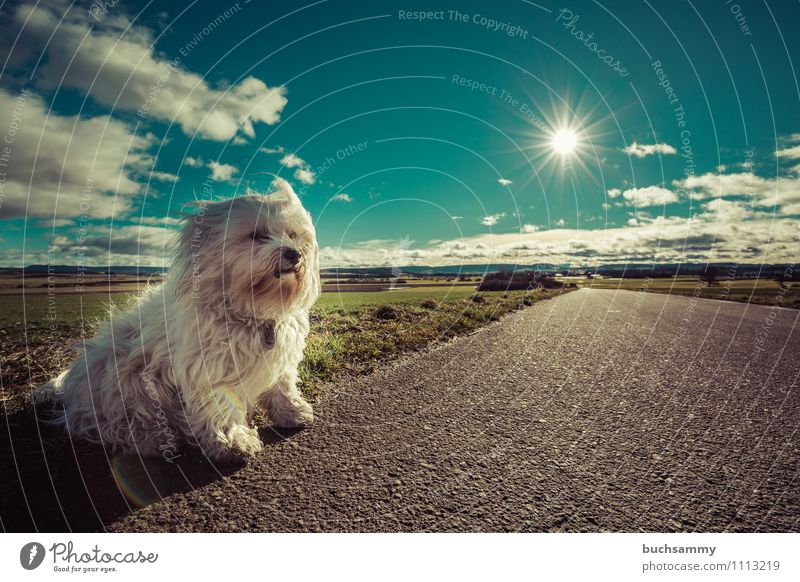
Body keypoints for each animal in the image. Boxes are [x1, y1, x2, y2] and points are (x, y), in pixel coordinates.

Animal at [36, 180, 318, 464]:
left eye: (293, 235)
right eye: (257, 235)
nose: (294, 254)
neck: (250, 312)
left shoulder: (279, 359)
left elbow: (283, 385)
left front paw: (292, 412)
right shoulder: (208, 369)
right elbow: (221, 406)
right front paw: (232, 441)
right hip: (123, 377)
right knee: (117, 424)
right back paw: (157, 440)